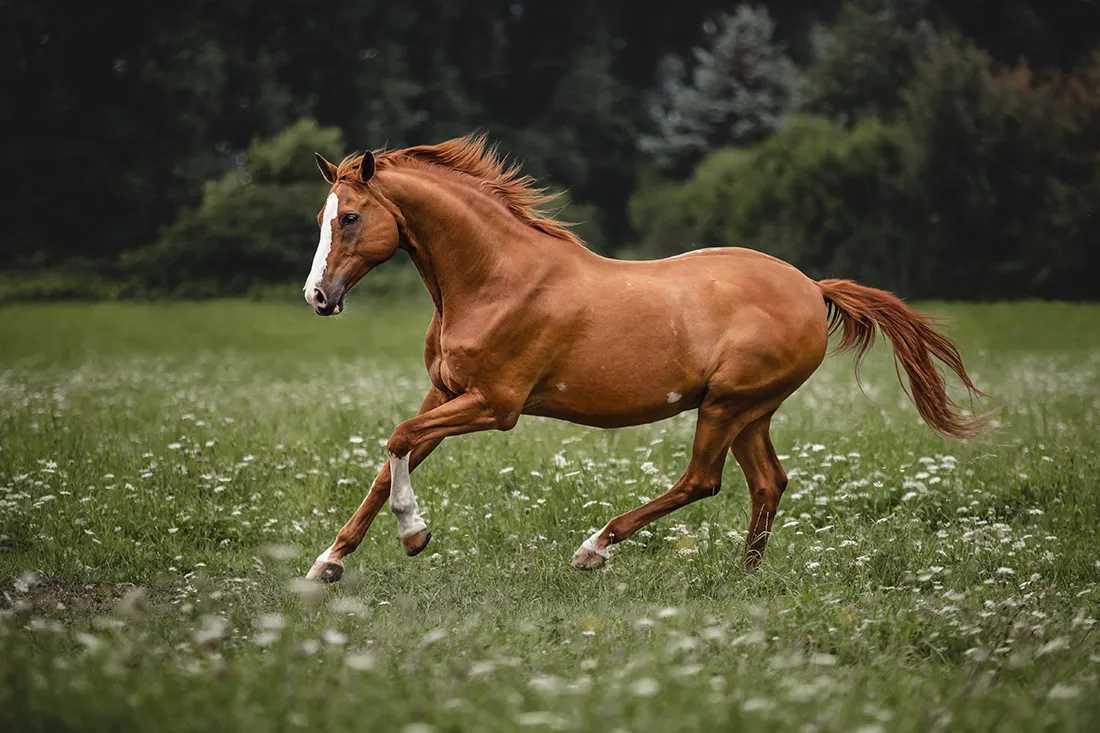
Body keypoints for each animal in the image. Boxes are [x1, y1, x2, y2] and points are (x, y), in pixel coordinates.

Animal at [301, 134, 990, 581]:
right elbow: (392, 459)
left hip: (727, 405)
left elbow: (397, 438)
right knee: (768, 481)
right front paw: (327, 563)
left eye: (352, 217)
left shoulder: (495, 406)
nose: (316, 297)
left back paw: (594, 549)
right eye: (322, 217)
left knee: (703, 480)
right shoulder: (446, 393)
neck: (495, 279)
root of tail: (812, 288)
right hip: (751, 412)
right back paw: (743, 579)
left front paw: (414, 535)